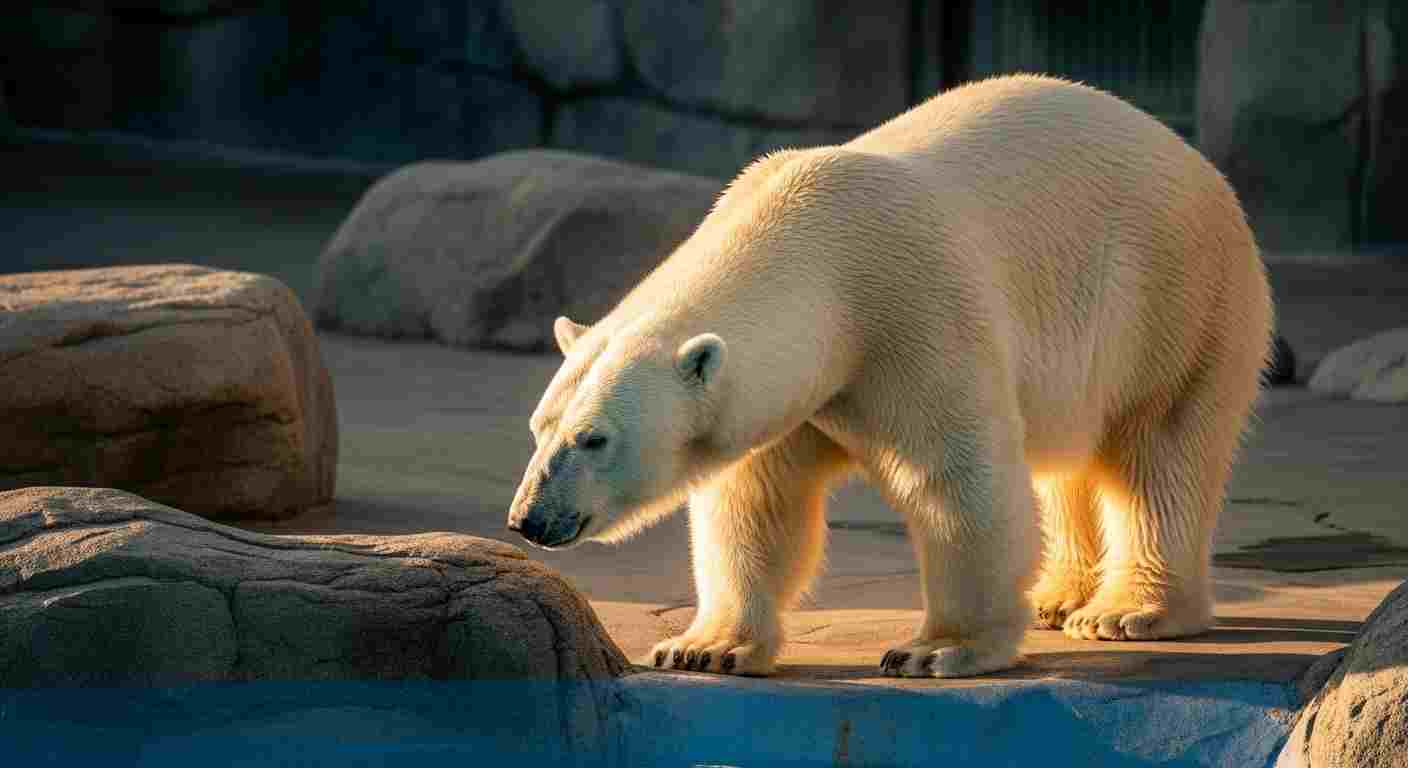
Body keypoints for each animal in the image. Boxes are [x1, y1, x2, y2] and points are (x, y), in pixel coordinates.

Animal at [506, 74, 1274, 678]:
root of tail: (1192, 157)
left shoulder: (913, 313)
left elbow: (955, 480)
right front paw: (703, 647)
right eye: (538, 428)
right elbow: (753, 503)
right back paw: (1059, 597)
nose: (529, 519)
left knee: (1159, 447)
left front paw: (938, 650)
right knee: (1066, 459)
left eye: (594, 438)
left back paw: (1126, 610)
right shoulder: (795, 387)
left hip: (1173, 296)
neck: (818, 256)